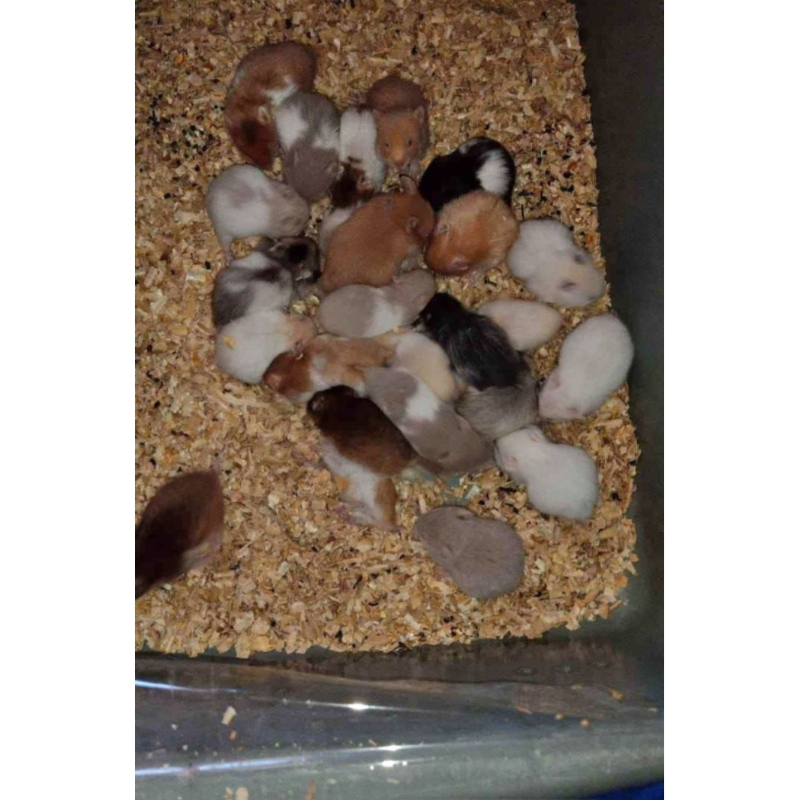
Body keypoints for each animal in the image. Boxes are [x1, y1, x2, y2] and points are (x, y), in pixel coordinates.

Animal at [307, 386, 416, 528]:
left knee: (380, 521)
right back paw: (345, 512)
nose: (308, 402)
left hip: (377, 494)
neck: (340, 403)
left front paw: (311, 449)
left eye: (315, 400)